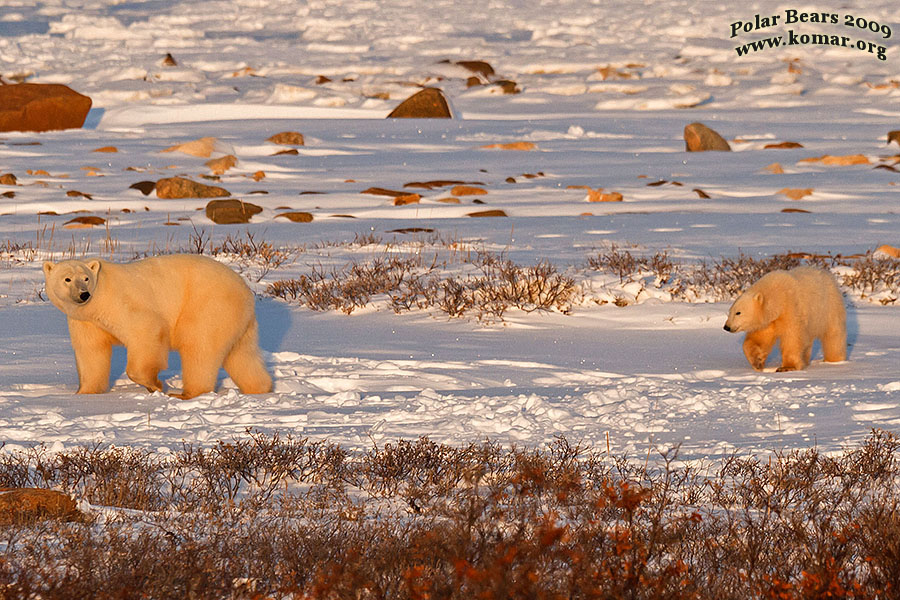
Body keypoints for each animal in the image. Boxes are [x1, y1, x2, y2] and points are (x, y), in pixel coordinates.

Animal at [43, 253, 270, 398]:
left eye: (86, 278)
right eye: (67, 279)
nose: (84, 294)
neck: (97, 302)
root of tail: (245, 291)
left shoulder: (120, 302)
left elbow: (146, 330)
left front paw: (155, 385)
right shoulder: (86, 320)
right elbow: (91, 351)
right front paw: (84, 392)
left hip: (209, 307)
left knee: (200, 348)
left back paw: (187, 394)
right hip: (238, 322)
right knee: (242, 355)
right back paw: (259, 388)